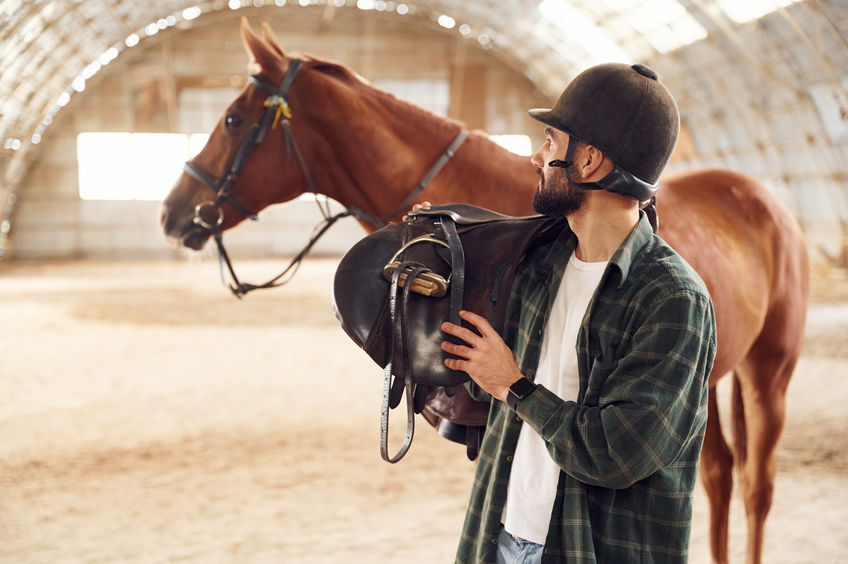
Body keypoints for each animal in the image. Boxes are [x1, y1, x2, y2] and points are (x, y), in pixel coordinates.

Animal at [157, 22, 808, 564]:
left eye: (233, 120)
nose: (173, 212)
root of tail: (763, 197)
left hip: (768, 373)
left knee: (757, 486)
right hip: (716, 381)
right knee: (718, 476)